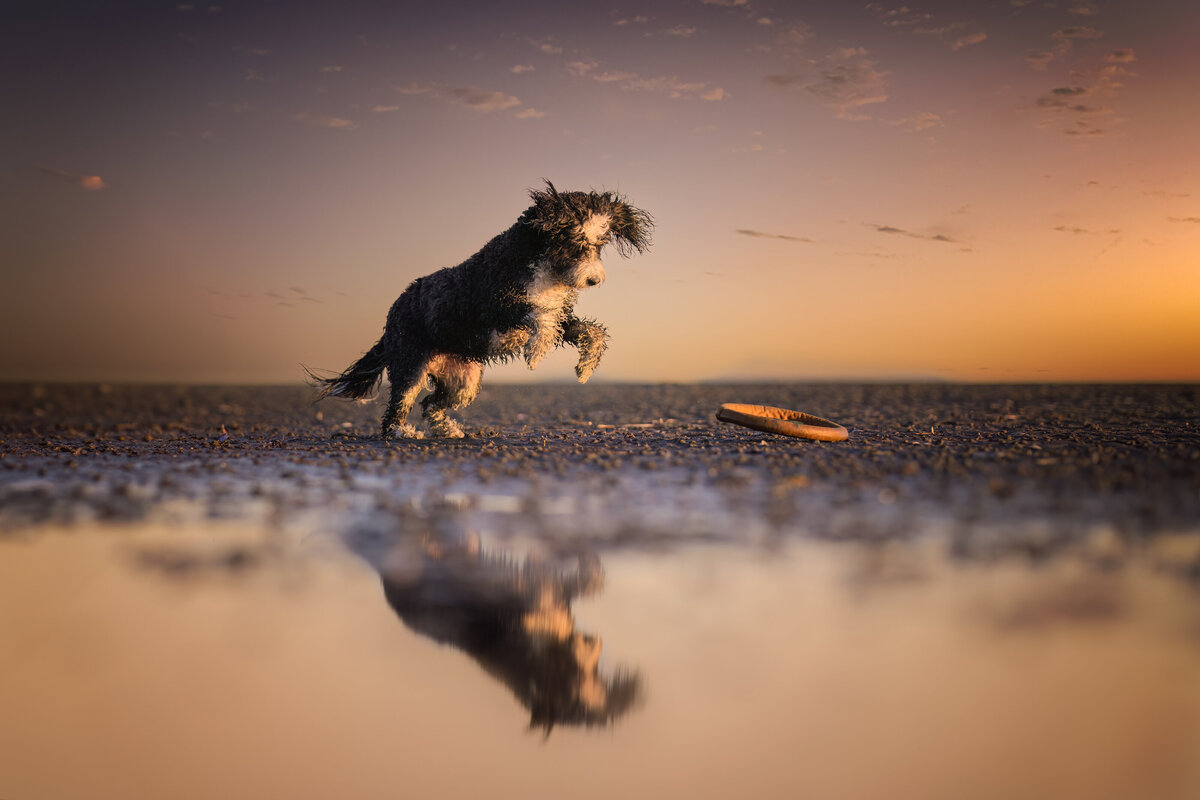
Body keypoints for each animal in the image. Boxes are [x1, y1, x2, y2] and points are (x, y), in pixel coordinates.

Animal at [307, 181, 648, 438]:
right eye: (575, 243)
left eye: (599, 245)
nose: (594, 279)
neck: (542, 265)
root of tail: (392, 314)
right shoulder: (499, 304)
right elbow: (540, 317)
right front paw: (536, 351)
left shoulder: (561, 313)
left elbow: (590, 331)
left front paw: (586, 367)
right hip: (410, 364)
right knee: (399, 405)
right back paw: (401, 432)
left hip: (464, 379)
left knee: (432, 404)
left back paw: (448, 430)